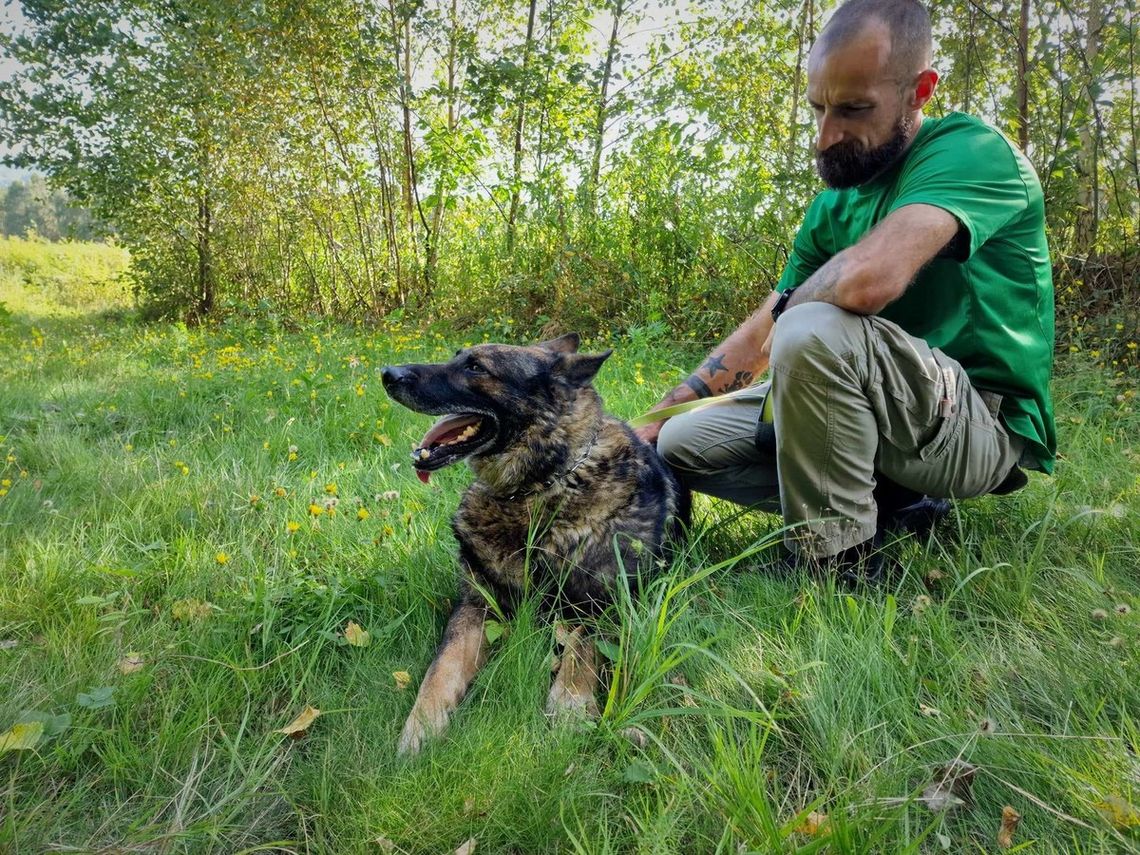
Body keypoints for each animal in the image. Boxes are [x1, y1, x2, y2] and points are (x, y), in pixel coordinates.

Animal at [380, 335, 684, 756]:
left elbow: (581, 652)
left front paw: (570, 706)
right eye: (458, 356)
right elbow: (441, 669)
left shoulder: (604, 607)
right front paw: (421, 726)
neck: (539, 490)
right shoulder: (476, 605)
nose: (386, 373)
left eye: (476, 367)